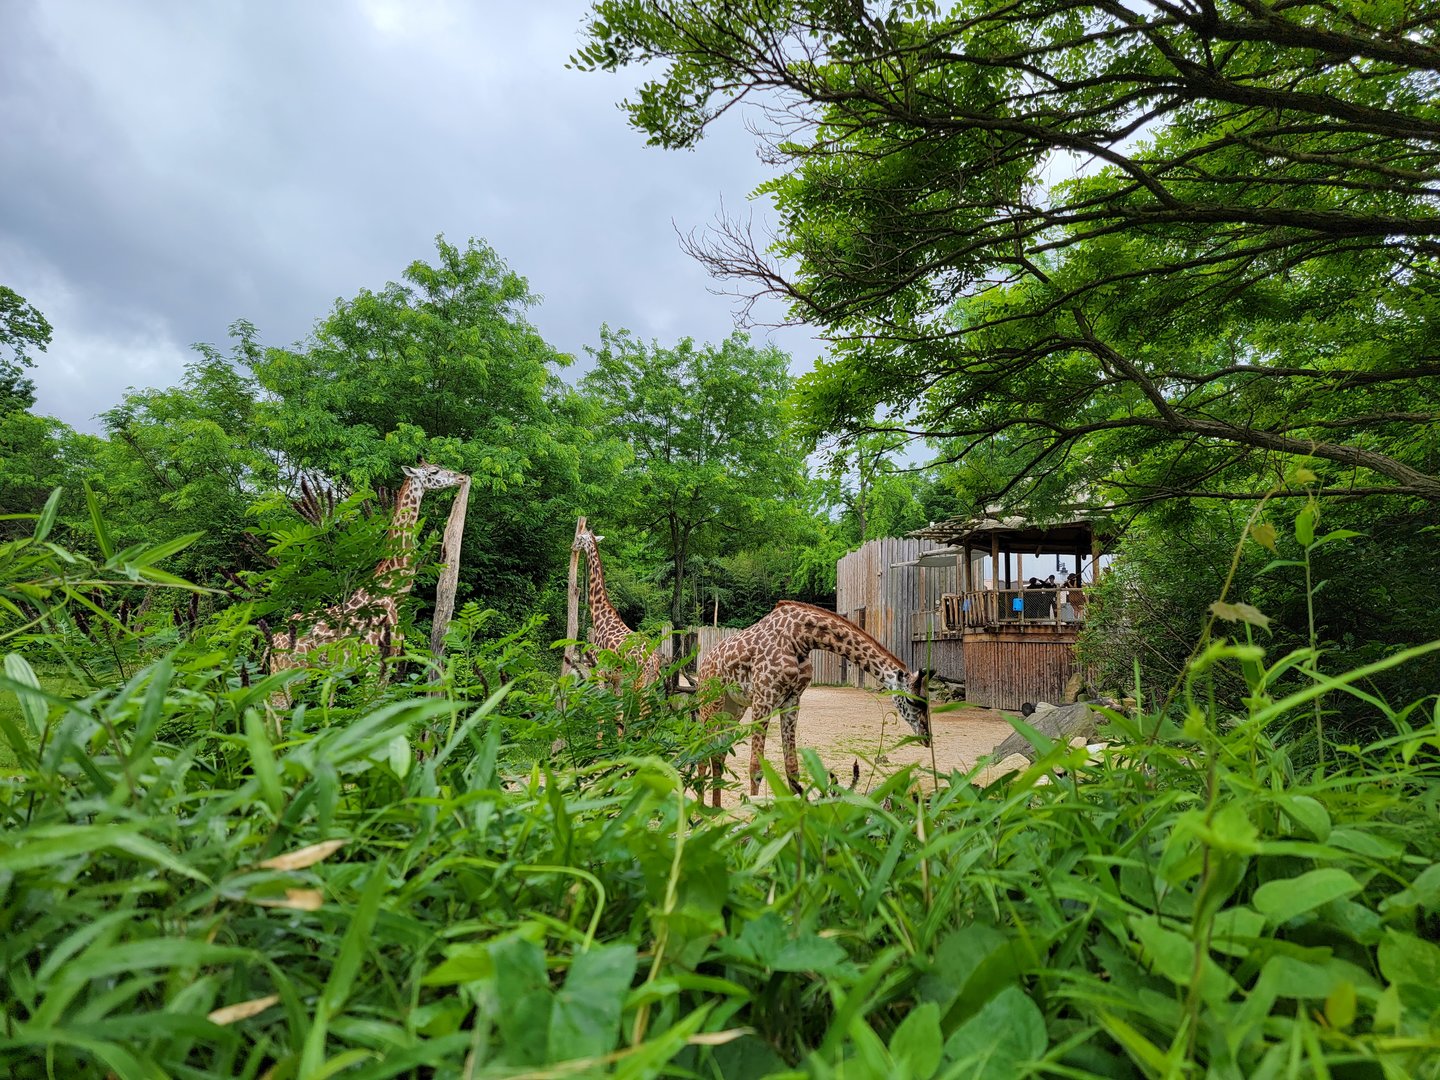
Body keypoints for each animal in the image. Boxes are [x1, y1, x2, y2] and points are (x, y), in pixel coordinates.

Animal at [268, 462, 468, 701]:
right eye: (435, 471)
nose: (460, 476)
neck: (392, 592)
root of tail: (271, 640)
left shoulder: (385, 663)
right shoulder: (372, 663)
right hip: (288, 674)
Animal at [573, 526, 662, 739]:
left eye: (579, 538)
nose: (572, 546)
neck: (599, 616)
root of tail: (655, 660)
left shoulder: (599, 671)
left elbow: (601, 714)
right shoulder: (617, 680)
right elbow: (619, 717)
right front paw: (618, 744)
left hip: (640, 682)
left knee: (645, 715)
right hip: (651, 682)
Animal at [697, 600, 930, 807]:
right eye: (912, 701)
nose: (926, 737)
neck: (800, 638)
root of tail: (703, 664)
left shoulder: (792, 700)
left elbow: (792, 769)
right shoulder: (764, 697)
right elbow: (756, 768)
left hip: (733, 708)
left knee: (717, 753)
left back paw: (716, 810)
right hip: (711, 703)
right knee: (703, 750)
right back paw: (700, 813)